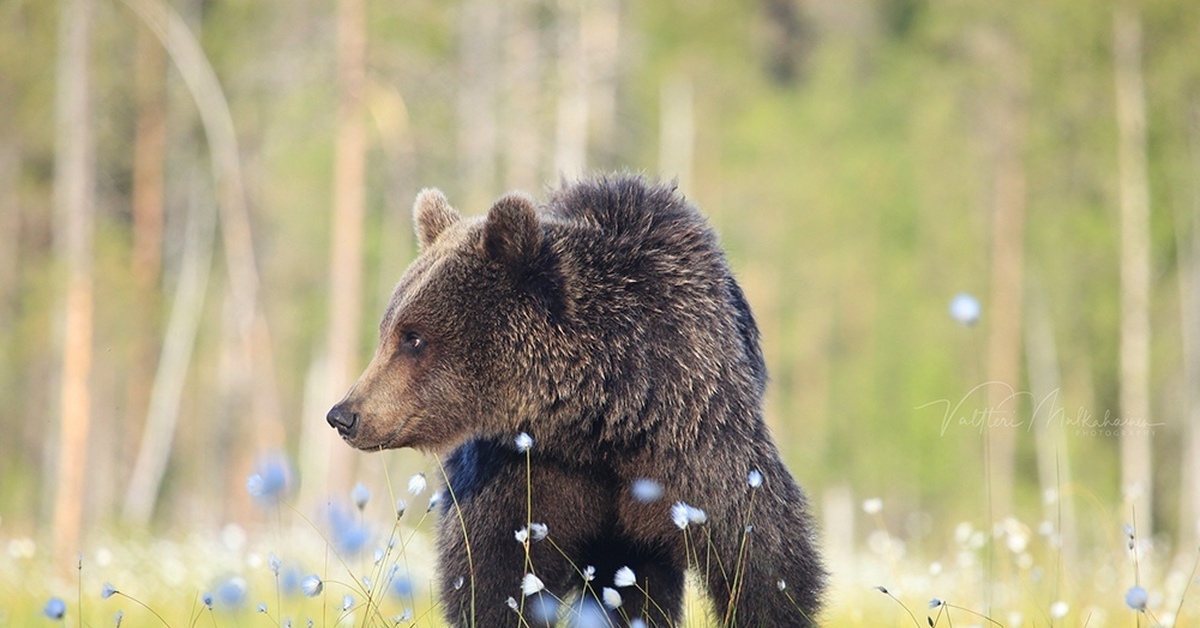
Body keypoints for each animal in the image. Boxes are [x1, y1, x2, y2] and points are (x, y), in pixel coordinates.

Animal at [333, 174, 830, 624]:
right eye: (389, 330)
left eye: (413, 337)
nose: (344, 415)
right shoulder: (524, 472)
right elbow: (492, 575)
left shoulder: (695, 446)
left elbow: (762, 563)